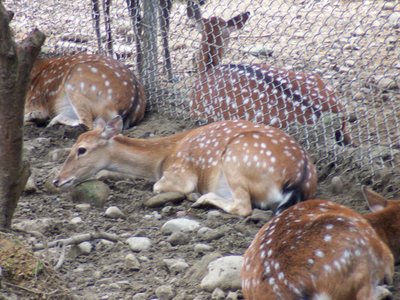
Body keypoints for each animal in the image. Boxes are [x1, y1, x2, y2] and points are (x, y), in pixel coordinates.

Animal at [53, 116, 318, 217]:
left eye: (81, 149)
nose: (57, 180)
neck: (162, 156)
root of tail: (299, 177)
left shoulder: (180, 173)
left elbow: (158, 187)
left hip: (236, 158)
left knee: (243, 206)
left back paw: (201, 198)